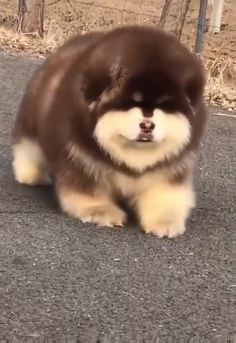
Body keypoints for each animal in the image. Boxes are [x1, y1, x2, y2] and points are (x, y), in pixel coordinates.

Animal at [11, 25, 206, 238]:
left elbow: (163, 195)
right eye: (129, 104)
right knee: (29, 146)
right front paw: (100, 210)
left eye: (165, 106)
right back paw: (30, 175)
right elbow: (88, 190)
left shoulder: (168, 168)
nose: (147, 125)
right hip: (31, 122)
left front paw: (165, 221)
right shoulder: (80, 158)